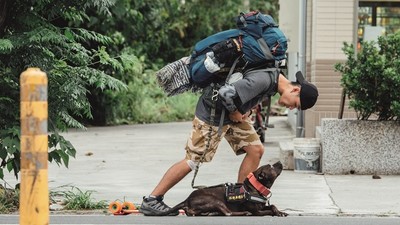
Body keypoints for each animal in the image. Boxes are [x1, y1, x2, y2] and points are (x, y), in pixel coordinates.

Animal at [159, 162, 288, 216]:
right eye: (271, 166)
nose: (279, 162)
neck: (255, 187)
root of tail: (187, 199)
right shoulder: (257, 212)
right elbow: (268, 211)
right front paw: (275, 213)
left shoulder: (262, 206)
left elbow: (272, 205)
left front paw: (280, 212)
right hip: (215, 200)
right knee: (228, 213)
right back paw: (243, 213)